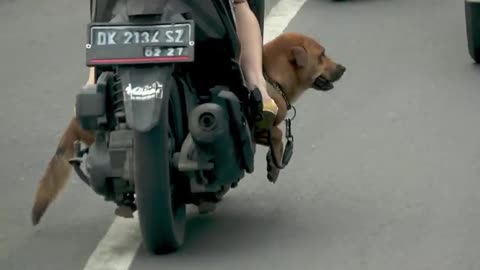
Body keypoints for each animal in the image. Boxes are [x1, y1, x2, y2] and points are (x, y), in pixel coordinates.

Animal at [30, 31, 344, 226]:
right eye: (322, 55)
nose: (343, 68)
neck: (270, 75)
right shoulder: (254, 125)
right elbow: (278, 134)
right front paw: (275, 165)